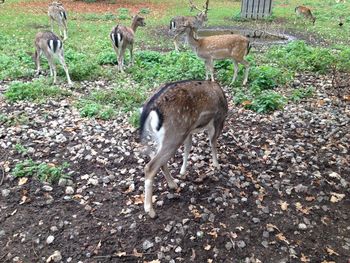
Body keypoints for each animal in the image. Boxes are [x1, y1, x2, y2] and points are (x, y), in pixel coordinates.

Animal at [141, 80, 228, 219]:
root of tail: (151, 108)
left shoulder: (190, 131)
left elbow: (188, 147)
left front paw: (182, 171)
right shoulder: (218, 120)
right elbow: (213, 142)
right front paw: (216, 165)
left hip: (161, 137)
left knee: (159, 160)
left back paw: (173, 184)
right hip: (174, 134)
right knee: (151, 166)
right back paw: (150, 210)